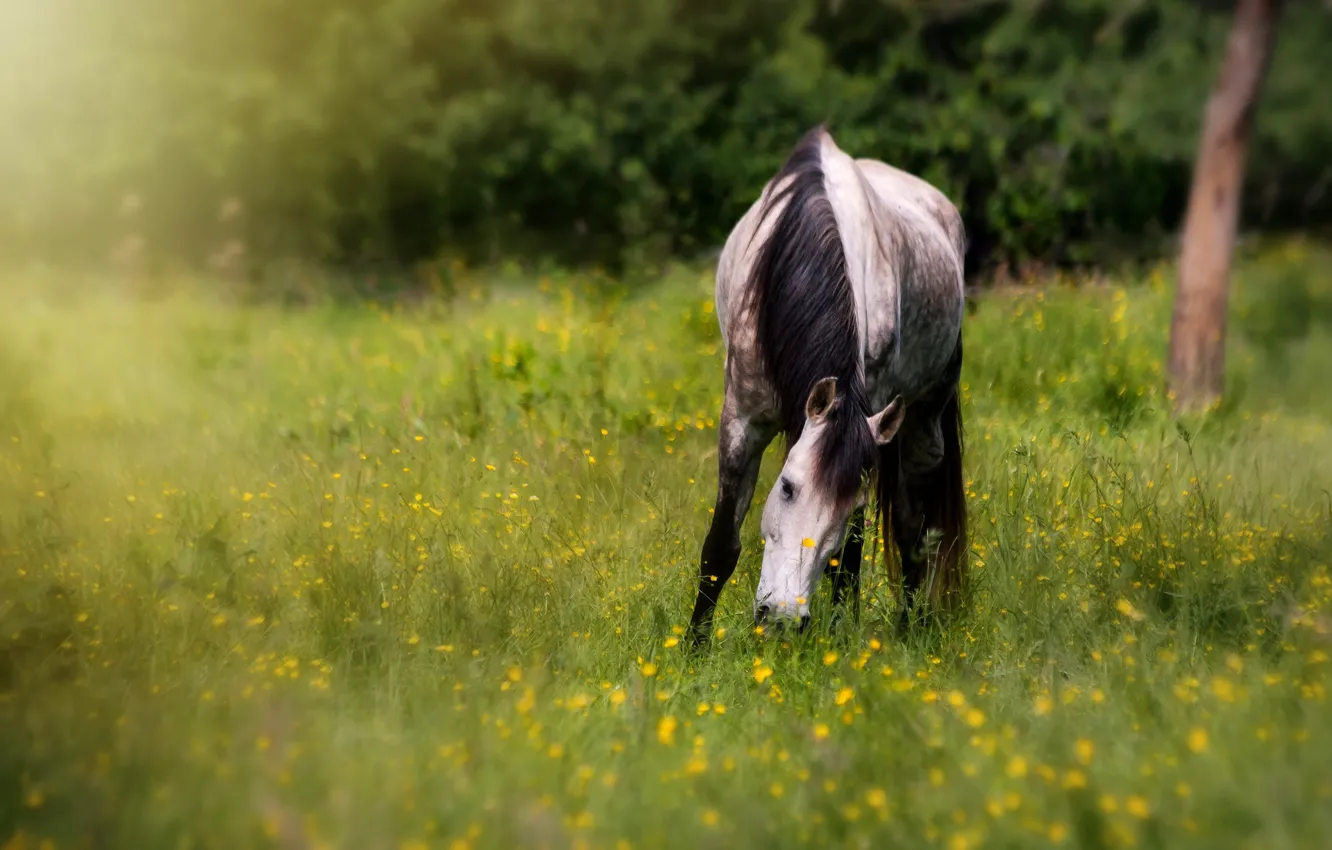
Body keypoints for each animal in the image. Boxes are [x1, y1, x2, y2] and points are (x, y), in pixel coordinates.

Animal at [687, 125, 968, 644]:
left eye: (845, 504)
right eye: (787, 487)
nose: (781, 618)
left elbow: (849, 556)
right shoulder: (741, 420)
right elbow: (721, 546)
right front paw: (693, 648)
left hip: (924, 422)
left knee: (911, 532)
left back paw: (908, 630)